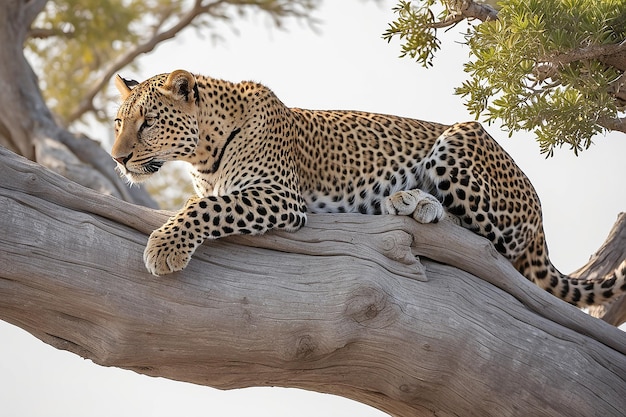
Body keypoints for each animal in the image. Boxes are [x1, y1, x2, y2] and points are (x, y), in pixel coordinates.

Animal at [112, 70, 624, 308]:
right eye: (119, 122)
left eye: (148, 122)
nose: (117, 158)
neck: (203, 152)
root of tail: (540, 217)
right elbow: (202, 202)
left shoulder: (280, 197)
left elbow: (209, 209)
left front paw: (164, 247)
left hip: (462, 138)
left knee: (491, 243)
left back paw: (415, 203)